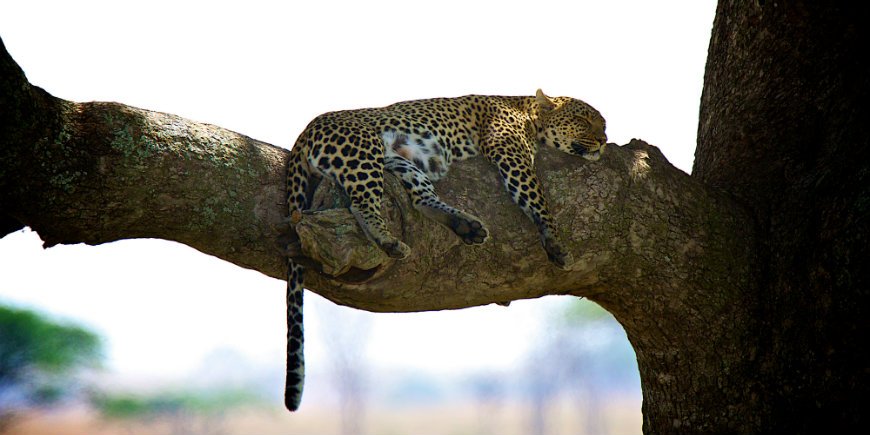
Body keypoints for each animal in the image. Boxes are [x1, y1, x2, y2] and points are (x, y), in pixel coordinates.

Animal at [284, 89, 608, 412]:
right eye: (583, 121)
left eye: (602, 124)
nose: (604, 140)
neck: (526, 110)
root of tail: (305, 131)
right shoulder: (510, 153)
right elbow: (536, 196)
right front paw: (555, 241)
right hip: (363, 151)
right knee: (360, 204)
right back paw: (389, 241)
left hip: (403, 164)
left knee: (420, 198)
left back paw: (466, 226)